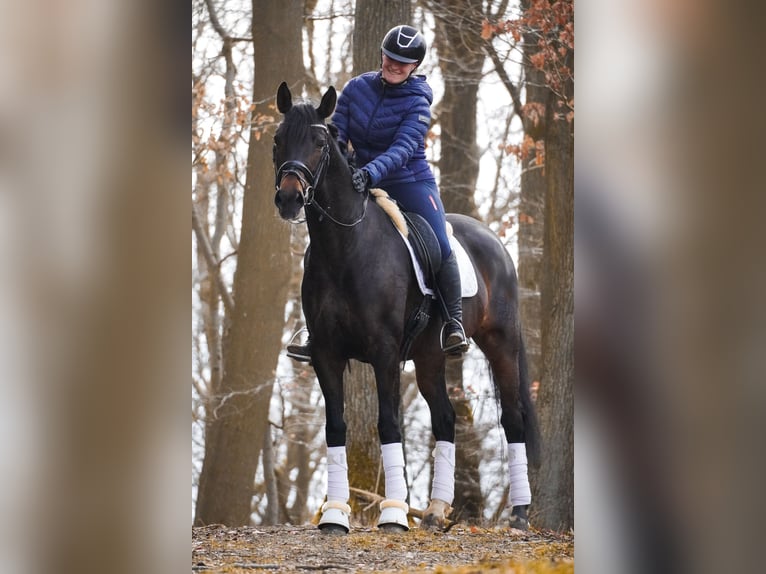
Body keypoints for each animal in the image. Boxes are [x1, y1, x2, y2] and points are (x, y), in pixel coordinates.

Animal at [274, 82, 540, 536]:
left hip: (501, 344)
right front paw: (334, 515)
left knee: (513, 419)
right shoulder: (326, 354)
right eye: (278, 139)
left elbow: (388, 423)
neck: (346, 248)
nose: (290, 198)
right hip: (430, 356)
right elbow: (336, 426)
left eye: (319, 142)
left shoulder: (383, 353)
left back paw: (519, 516)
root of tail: (493, 241)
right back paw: (434, 511)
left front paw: (395, 514)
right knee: (446, 419)